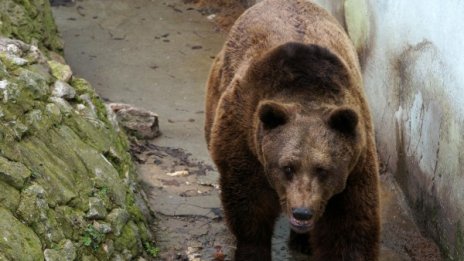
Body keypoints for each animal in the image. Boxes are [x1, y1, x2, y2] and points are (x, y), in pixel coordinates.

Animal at [207, 1, 380, 258]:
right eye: (287, 167)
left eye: (323, 170)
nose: (302, 212)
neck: (307, 92)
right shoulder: (245, 139)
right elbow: (250, 207)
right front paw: (252, 250)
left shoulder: (356, 165)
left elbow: (349, 227)